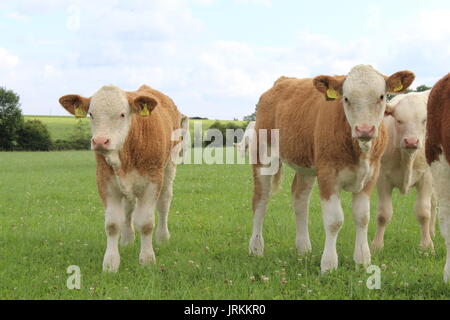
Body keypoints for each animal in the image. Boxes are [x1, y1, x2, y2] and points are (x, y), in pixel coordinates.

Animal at [59, 84, 185, 272]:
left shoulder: (152, 182)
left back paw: (162, 237)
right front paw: (110, 263)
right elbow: (112, 224)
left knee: (164, 202)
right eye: (91, 114)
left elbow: (146, 223)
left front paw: (147, 259)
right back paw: (127, 240)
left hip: (170, 165)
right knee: (128, 208)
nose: (100, 141)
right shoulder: (105, 182)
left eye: (122, 114)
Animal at [250, 64, 414, 272]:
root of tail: (282, 81)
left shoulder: (372, 174)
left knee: (300, 199)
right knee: (261, 200)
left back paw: (303, 248)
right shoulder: (327, 173)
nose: (364, 129)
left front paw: (362, 259)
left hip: (306, 166)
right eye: (346, 98)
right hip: (263, 154)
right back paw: (256, 248)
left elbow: (362, 217)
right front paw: (328, 264)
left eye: (381, 96)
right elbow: (334, 220)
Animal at [370, 90, 438, 252]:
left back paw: (432, 232)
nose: (411, 141)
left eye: (424, 120)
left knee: (434, 204)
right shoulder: (382, 178)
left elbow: (423, 212)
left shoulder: (426, 177)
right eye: (399, 120)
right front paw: (377, 245)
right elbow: (383, 214)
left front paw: (427, 246)